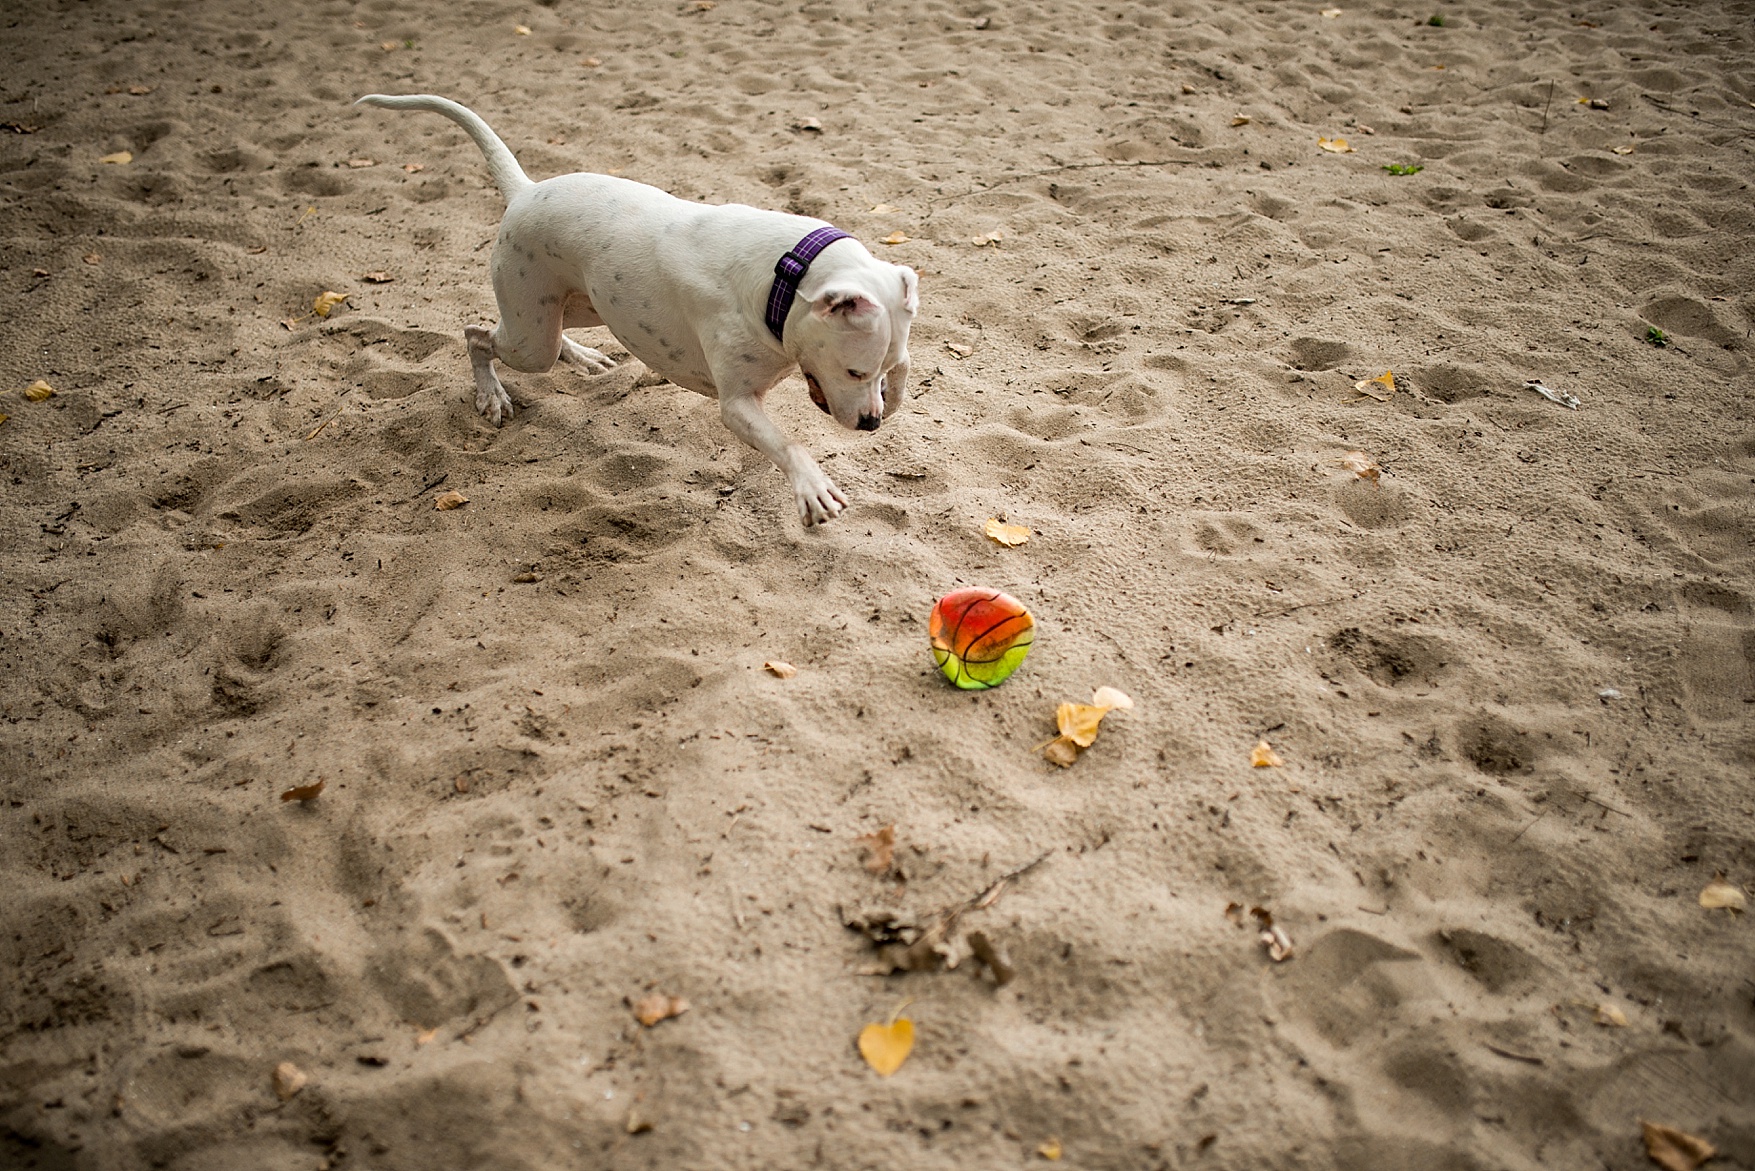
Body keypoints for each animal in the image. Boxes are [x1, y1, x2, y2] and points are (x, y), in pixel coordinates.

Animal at [349, 96, 912, 526]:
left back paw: (583, 359)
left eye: (883, 370)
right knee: (476, 334)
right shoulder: (737, 405)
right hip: (531, 335)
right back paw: (492, 396)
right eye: (854, 371)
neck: (783, 277)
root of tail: (526, 191)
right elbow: (789, 443)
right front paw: (813, 489)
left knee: (535, 332)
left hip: (579, 307)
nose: (871, 425)